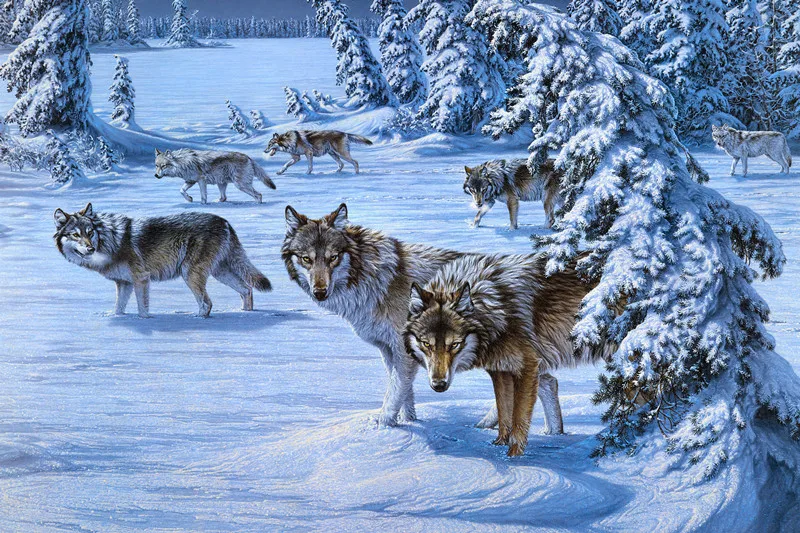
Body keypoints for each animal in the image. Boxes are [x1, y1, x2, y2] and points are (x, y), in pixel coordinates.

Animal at [54, 203, 271, 318]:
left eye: (90, 232)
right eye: (76, 235)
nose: (90, 248)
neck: (111, 241)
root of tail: (225, 221)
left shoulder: (141, 279)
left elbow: (143, 310)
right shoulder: (124, 283)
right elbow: (119, 309)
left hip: (190, 274)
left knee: (207, 303)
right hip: (220, 272)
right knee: (246, 289)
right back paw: (246, 313)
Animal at [282, 203, 474, 426]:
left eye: (333, 257)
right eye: (307, 259)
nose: (320, 292)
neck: (376, 280)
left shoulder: (403, 351)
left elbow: (395, 392)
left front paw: (384, 425)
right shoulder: (389, 349)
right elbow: (404, 391)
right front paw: (409, 422)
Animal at [402, 253, 608, 456]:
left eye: (454, 344)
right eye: (426, 344)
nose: (439, 385)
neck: (496, 307)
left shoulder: (527, 367)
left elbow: (518, 417)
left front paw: (514, 455)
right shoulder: (500, 371)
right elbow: (504, 413)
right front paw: (499, 444)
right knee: (551, 383)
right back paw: (555, 434)